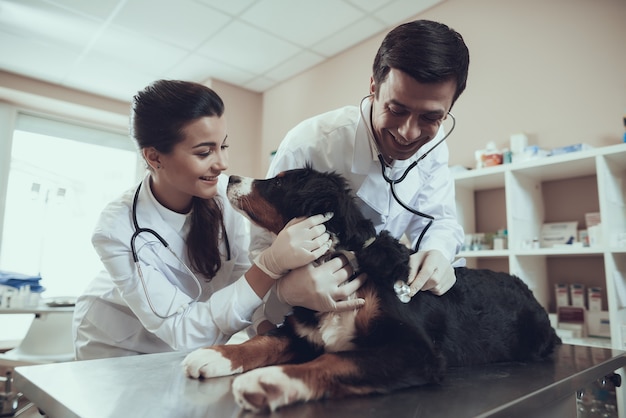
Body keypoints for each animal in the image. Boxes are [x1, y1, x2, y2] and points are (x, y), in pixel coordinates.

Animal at [182, 166, 560, 412]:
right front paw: (215, 355)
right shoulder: (302, 329)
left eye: (278, 182)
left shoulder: (416, 350)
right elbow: (263, 341)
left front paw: (269, 382)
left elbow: (335, 360)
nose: (230, 177)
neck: (340, 260)